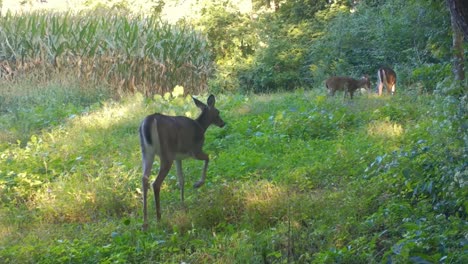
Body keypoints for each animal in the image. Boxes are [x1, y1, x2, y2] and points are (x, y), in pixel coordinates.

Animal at [138, 94, 226, 229]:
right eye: (218, 112)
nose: (223, 123)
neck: (201, 127)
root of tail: (150, 120)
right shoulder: (194, 150)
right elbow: (208, 157)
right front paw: (198, 184)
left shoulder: (178, 158)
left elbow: (181, 180)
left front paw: (182, 203)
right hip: (166, 154)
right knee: (155, 183)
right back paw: (159, 218)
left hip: (147, 152)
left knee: (144, 179)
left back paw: (145, 222)